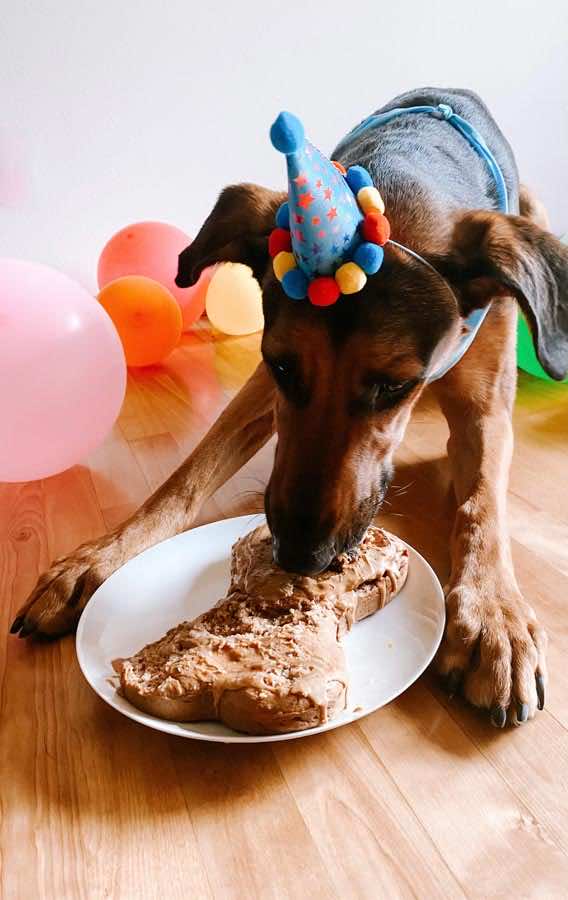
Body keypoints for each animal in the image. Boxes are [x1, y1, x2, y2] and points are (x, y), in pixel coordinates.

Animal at [11, 88, 564, 728]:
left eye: (394, 386)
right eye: (281, 366)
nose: (300, 557)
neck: (407, 181)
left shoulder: (486, 409)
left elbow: (482, 507)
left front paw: (494, 615)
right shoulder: (262, 387)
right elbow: (184, 478)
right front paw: (96, 559)